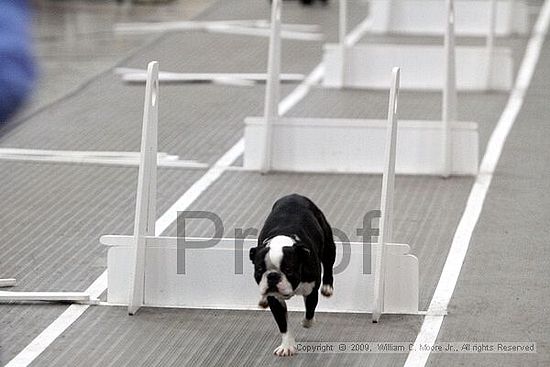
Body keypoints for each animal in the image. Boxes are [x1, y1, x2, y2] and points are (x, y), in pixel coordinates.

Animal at [250, 194, 336, 358]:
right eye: (259, 269)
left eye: (289, 269)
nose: (272, 276)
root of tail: (295, 196)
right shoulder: (275, 300)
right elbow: (283, 324)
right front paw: (287, 346)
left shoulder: (311, 291)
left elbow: (309, 311)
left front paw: (307, 322)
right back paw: (262, 300)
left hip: (328, 245)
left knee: (329, 265)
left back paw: (328, 287)